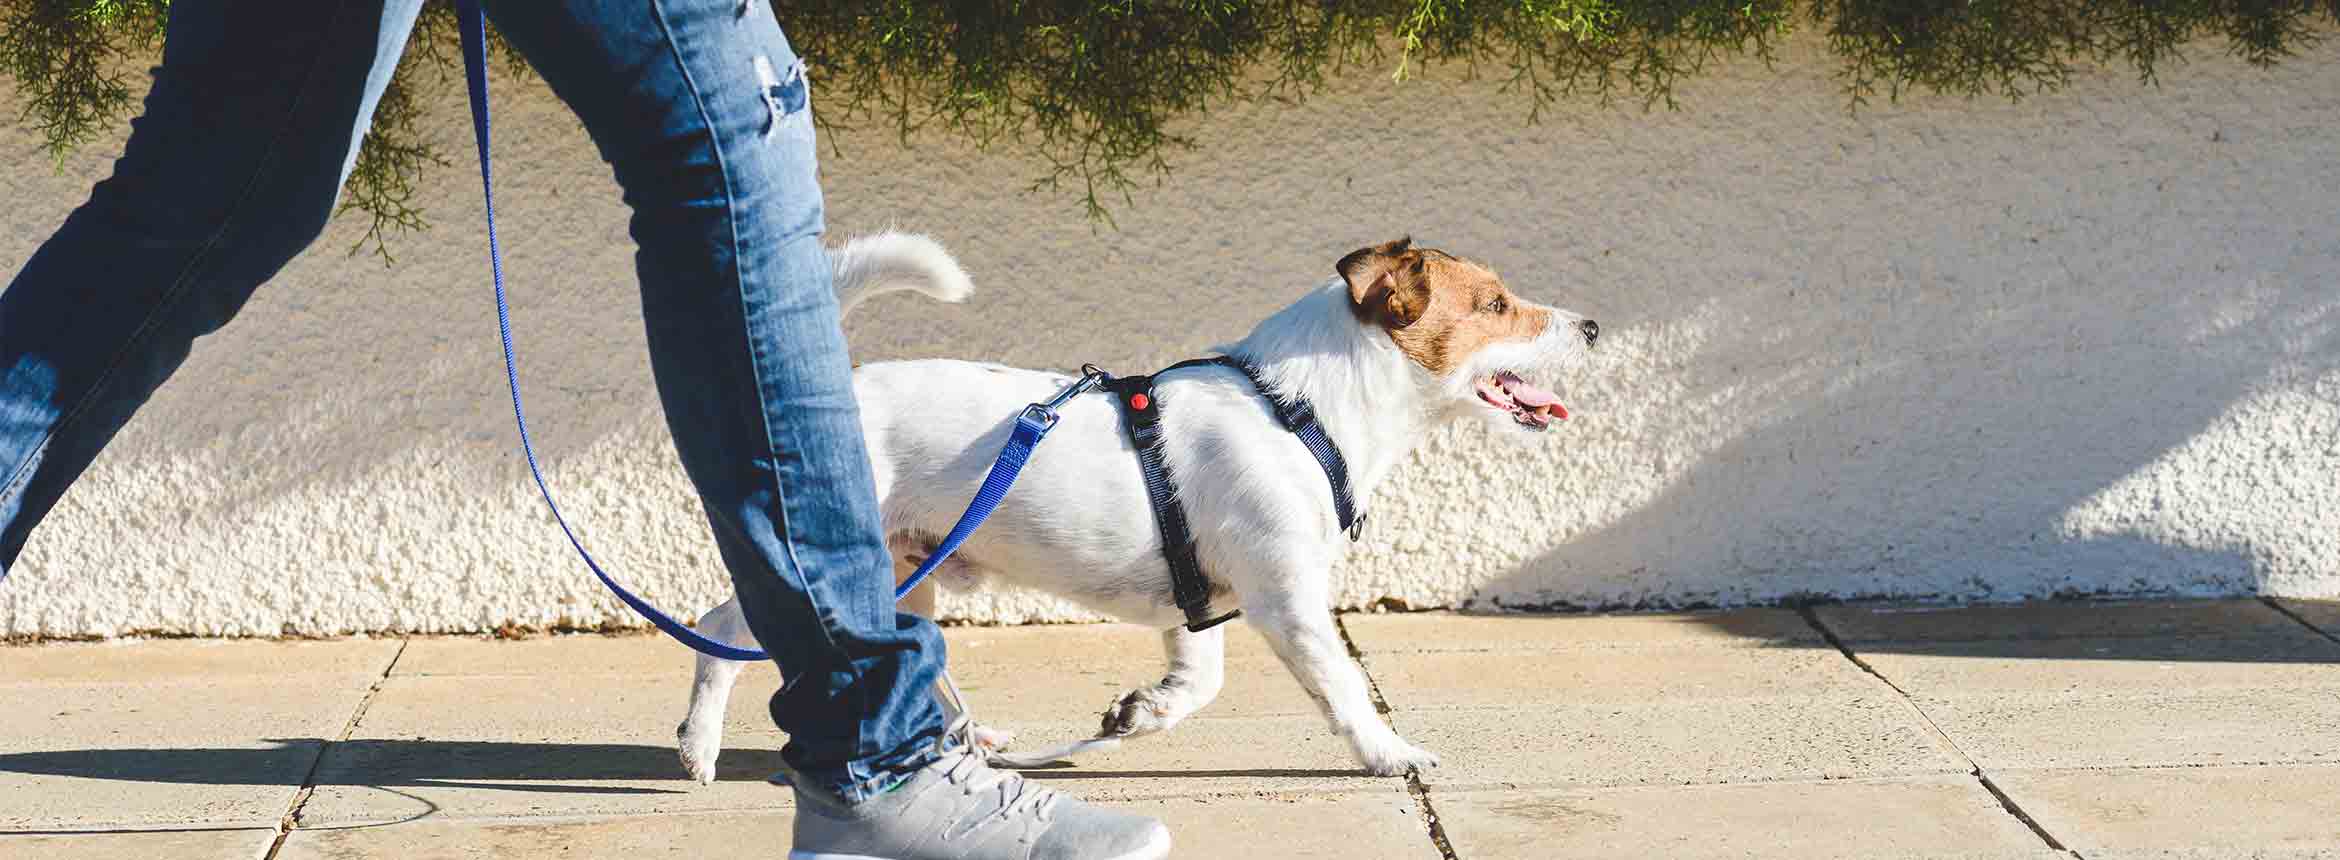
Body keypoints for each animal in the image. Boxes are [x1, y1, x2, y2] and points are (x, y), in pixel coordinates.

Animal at [678, 231, 1591, 780]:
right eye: (1496, 305)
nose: (1589, 327)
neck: (1300, 409)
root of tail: (840, 392)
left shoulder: (1202, 604)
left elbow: (1197, 684)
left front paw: (1140, 713)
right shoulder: (1288, 601)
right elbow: (1344, 689)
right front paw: (1389, 752)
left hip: (909, 572)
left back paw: (972, 743)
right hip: (834, 565)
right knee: (721, 631)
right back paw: (699, 747)